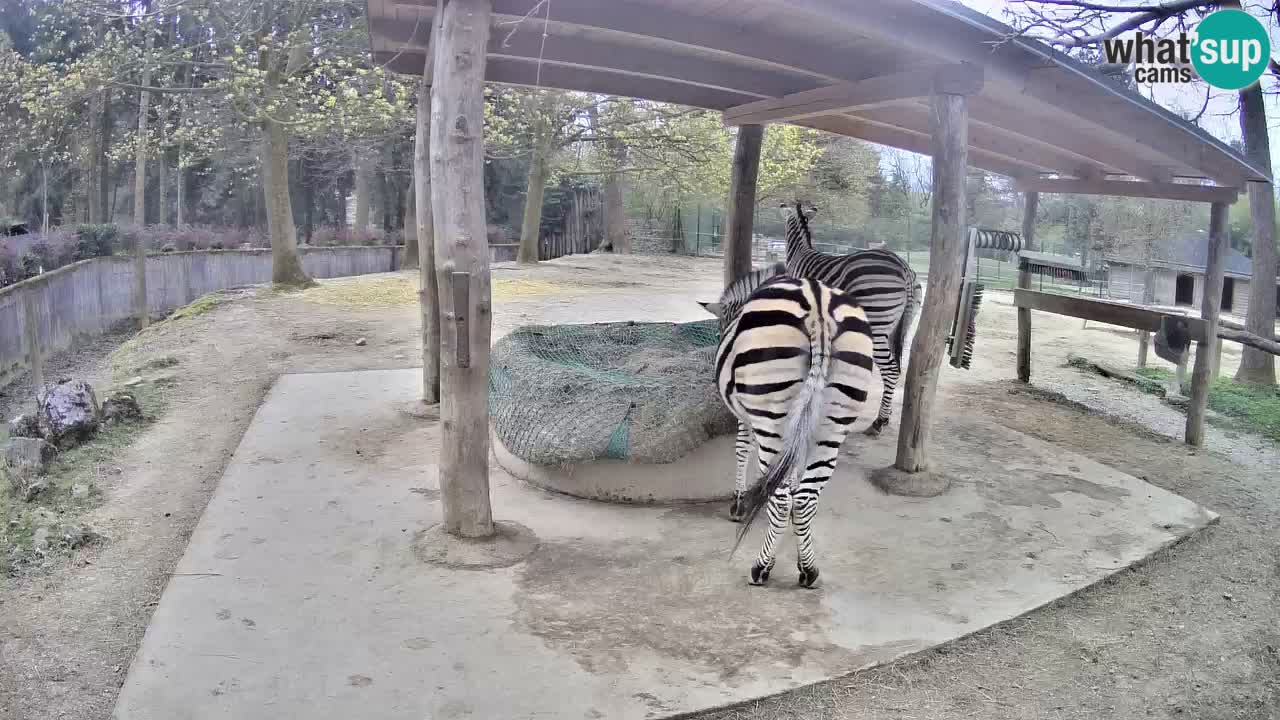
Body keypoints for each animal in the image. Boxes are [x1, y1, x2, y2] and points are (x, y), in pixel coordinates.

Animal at [699, 264, 876, 587]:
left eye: (721, 327)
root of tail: (818, 305)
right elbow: (794, 479)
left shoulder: (747, 416)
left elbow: (741, 449)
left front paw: (738, 504)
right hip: (832, 427)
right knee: (806, 499)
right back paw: (808, 569)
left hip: (772, 421)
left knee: (780, 498)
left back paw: (761, 568)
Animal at [780, 202, 922, 437]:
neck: (800, 253)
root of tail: (903, 267)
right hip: (899, 327)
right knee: (897, 368)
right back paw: (887, 416)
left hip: (877, 324)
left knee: (891, 369)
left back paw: (879, 422)